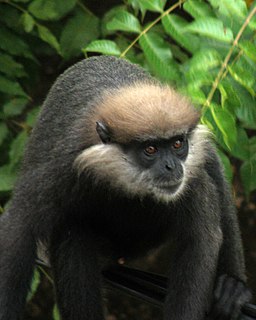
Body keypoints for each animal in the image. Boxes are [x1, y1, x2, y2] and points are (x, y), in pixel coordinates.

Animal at [0, 55, 252, 320]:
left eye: (177, 144)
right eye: (150, 149)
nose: (171, 166)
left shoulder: (191, 179)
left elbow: (201, 239)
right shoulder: (62, 169)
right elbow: (17, 230)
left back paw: (232, 286)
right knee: (72, 231)